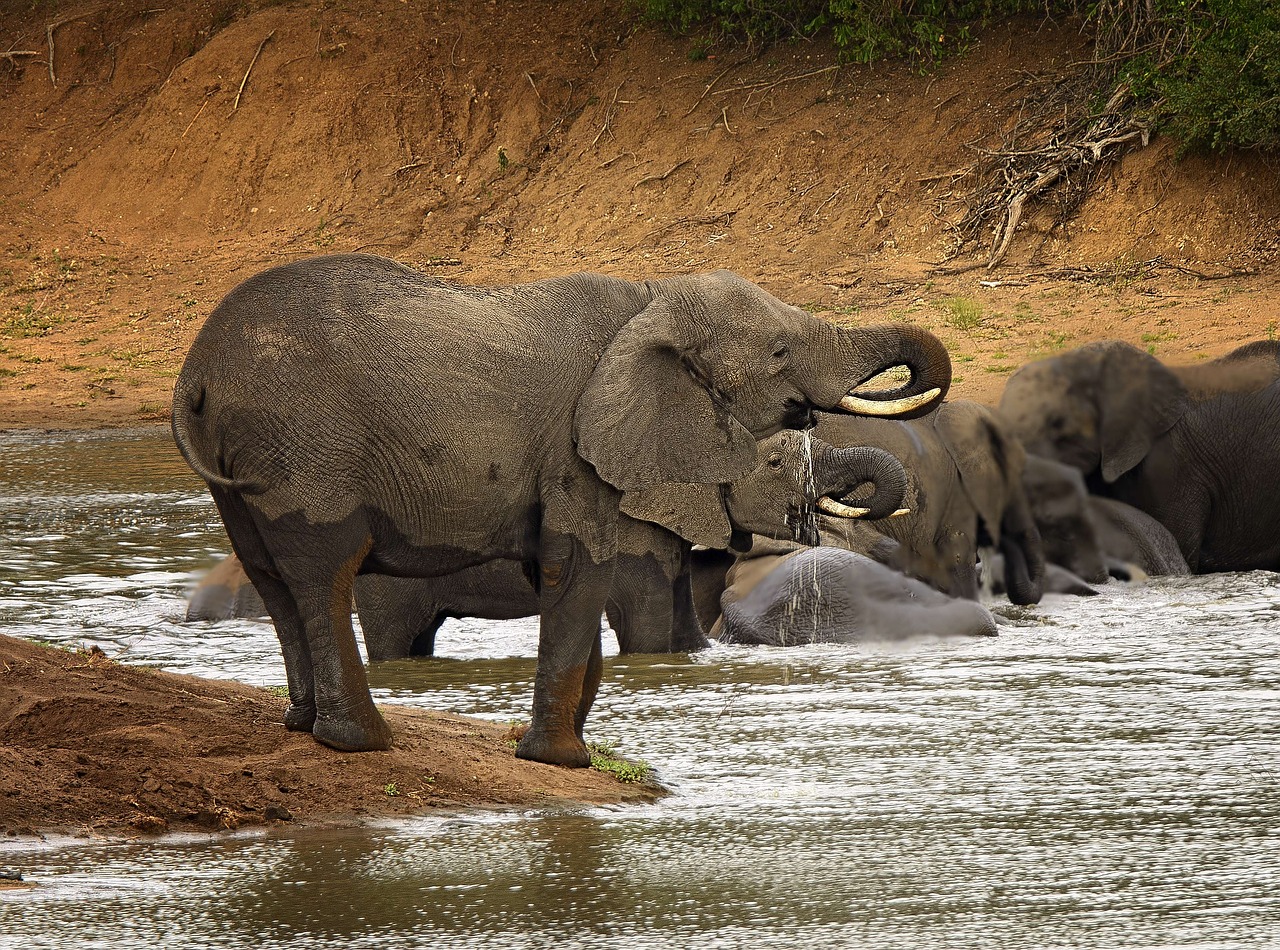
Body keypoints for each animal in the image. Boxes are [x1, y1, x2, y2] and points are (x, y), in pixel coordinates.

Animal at [172, 254, 952, 768]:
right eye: (780, 350)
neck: (649, 299)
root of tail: (195, 374)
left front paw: (579, 747)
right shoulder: (582, 451)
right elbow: (585, 575)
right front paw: (561, 761)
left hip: (246, 464)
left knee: (270, 573)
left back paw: (300, 726)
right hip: (304, 447)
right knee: (324, 572)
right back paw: (360, 741)